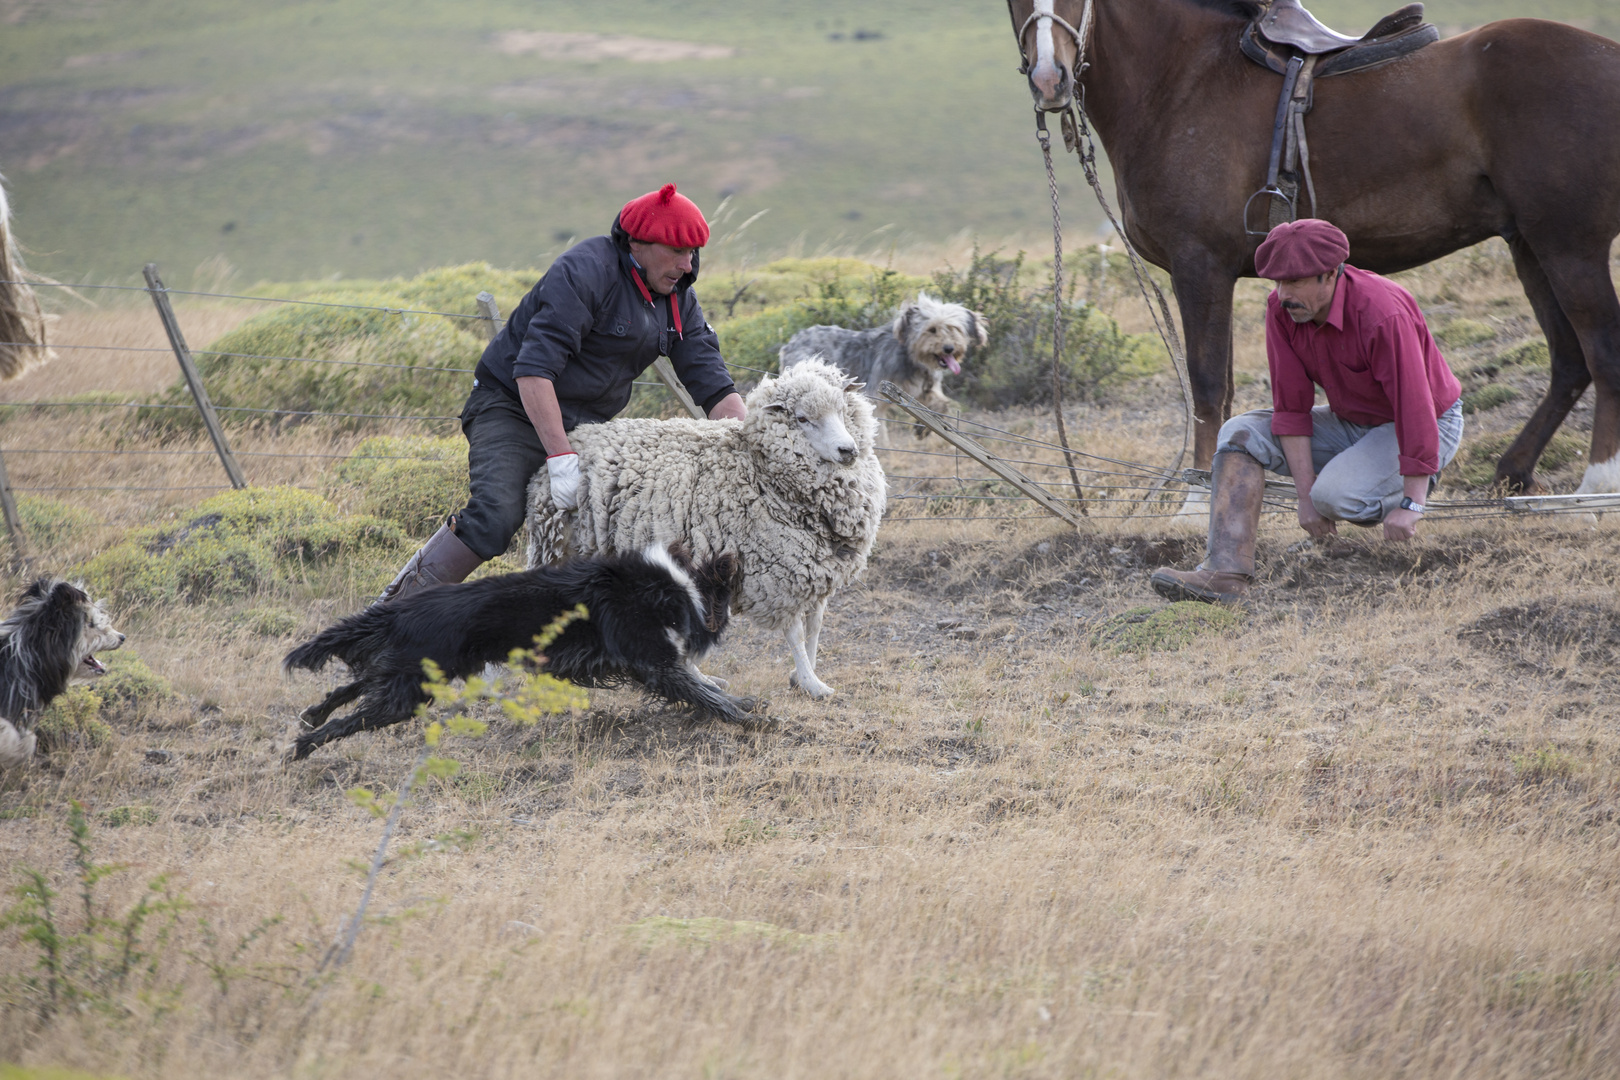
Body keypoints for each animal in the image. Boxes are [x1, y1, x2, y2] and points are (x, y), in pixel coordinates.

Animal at [285, 540, 751, 761]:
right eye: (732, 593)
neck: (679, 585)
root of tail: (398, 611)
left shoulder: (657, 661)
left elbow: (702, 684)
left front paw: (743, 703)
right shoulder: (653, 662)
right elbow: (702, 691)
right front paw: (751, 720)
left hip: (405, 673)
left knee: (354, 685)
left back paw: (312, 715)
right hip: (410, 690)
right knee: (351, 716)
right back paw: (301, 748)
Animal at [524, 359, 887, 705]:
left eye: (842, 409)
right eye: (802, 418)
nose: (848, 451)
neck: (762, 471)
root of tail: (569, 442)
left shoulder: (817, 569)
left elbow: (815, 628)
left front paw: (803, 677)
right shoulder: (776, 573)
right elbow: (796, 634)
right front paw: (813, 684)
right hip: (561, 547)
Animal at [780, 293, 991, 437]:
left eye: (955, 329)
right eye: (932, 329)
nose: (949, 348)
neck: (911, 358)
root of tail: (790, 343)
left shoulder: (922, 391)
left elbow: (941, 405)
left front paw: (923, 429)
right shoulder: (877, 394)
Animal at [997, 0, 1620, 495]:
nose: (1050, 79)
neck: (1182, 82)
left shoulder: (1200, 267)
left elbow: (1206, 389)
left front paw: (1194, 503)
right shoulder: (1214, 275)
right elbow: (1223, 392)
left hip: (1570, 247)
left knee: (1601, 352)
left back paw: (1594, 488)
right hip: (1530, 245)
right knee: (1569, 360)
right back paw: (1514, 472)